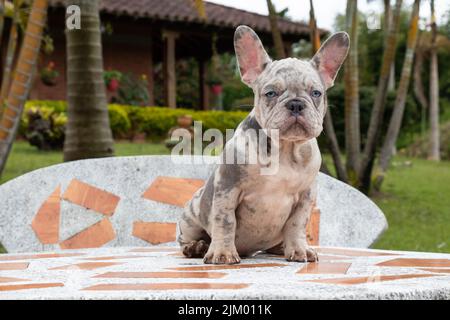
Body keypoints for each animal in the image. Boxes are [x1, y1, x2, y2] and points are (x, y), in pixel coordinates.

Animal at [178, 25, 350, 264]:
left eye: (316, 93)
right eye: (270, 93)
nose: (296, 104)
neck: (285, 149)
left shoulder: (305, 197)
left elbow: (297, 224)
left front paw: (299, 249)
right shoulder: (227, 188)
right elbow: (225, 221)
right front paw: (223, 253)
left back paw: (281, 247)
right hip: (191, 215)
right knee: (190, 237)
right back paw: (197, 247)